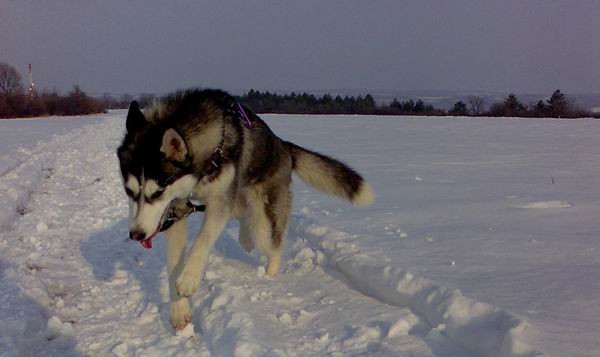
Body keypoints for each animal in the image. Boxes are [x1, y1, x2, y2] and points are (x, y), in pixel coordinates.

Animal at [116, 89, 376, 328]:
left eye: (156, 193)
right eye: (129, 191)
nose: (136, 234)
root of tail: (283, 146)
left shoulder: (219, 202)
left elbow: (203, 239)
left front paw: (189, 279)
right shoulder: (176, 210)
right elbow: (173, 263)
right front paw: (179, 310)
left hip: (265, 218)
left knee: (273, 244)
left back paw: (270, 275)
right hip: (241, 196)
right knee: (243, 216)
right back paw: (246, 239)